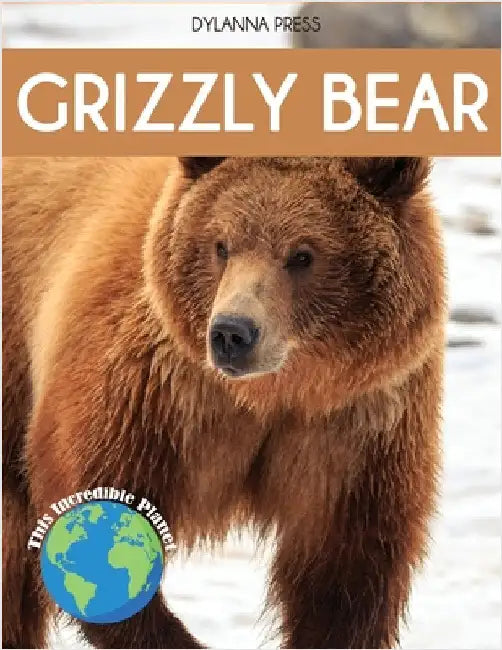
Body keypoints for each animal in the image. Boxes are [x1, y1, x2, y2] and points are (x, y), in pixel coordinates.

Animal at [2, 156, 445, 649]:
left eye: (303, 254)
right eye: (222, 245)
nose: (232, 333)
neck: (269, 395)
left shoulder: (356, 427)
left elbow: (344, 572)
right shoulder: (152, 398)